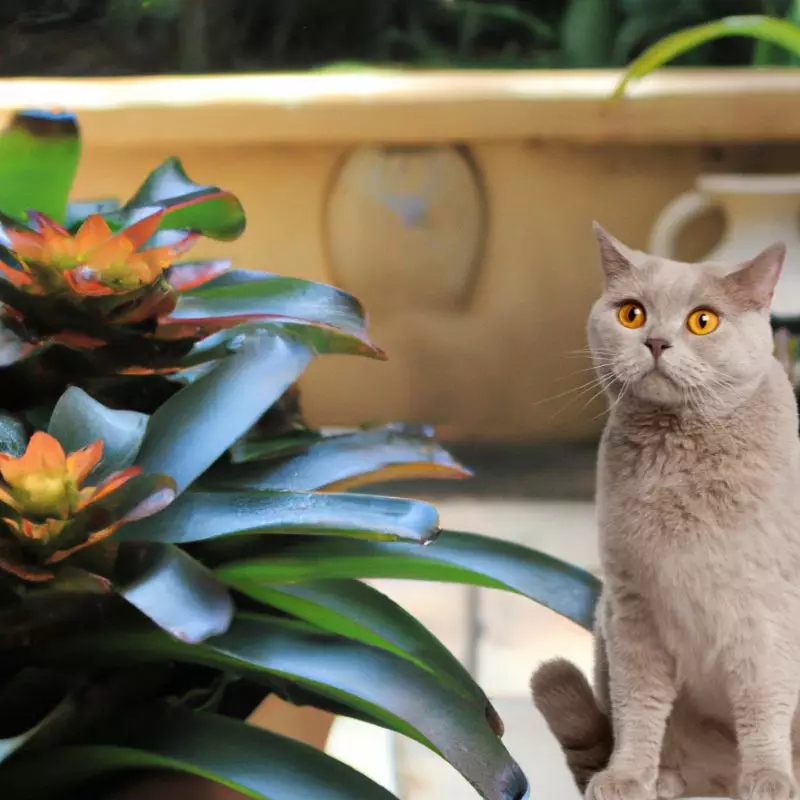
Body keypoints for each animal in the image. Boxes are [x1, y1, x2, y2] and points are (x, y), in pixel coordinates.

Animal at [532, 227, 800, 800]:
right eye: (632, 314)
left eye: (703, 321)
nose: (655, 342)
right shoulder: (633, 609)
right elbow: (638, 708)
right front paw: (628, 777)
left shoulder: (768, 612)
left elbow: (763, 701)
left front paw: (769, 779)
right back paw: (668, 780)